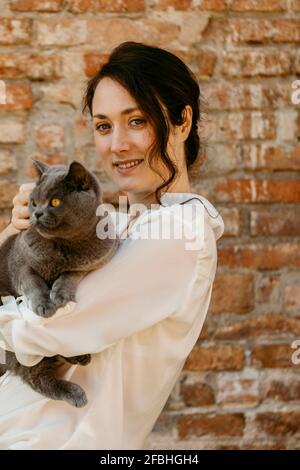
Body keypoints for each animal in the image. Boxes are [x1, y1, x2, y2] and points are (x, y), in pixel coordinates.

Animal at [0, 159, 119, 408]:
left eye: (55, 202)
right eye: (33, 202)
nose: (36, 213)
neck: (62, 246)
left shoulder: (94, 260)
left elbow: (70, 274)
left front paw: (61, 295)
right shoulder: (20, 266)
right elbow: (34, 283)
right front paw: (44, 306)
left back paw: (79, 358)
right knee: (36, 376)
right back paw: (76, 393)